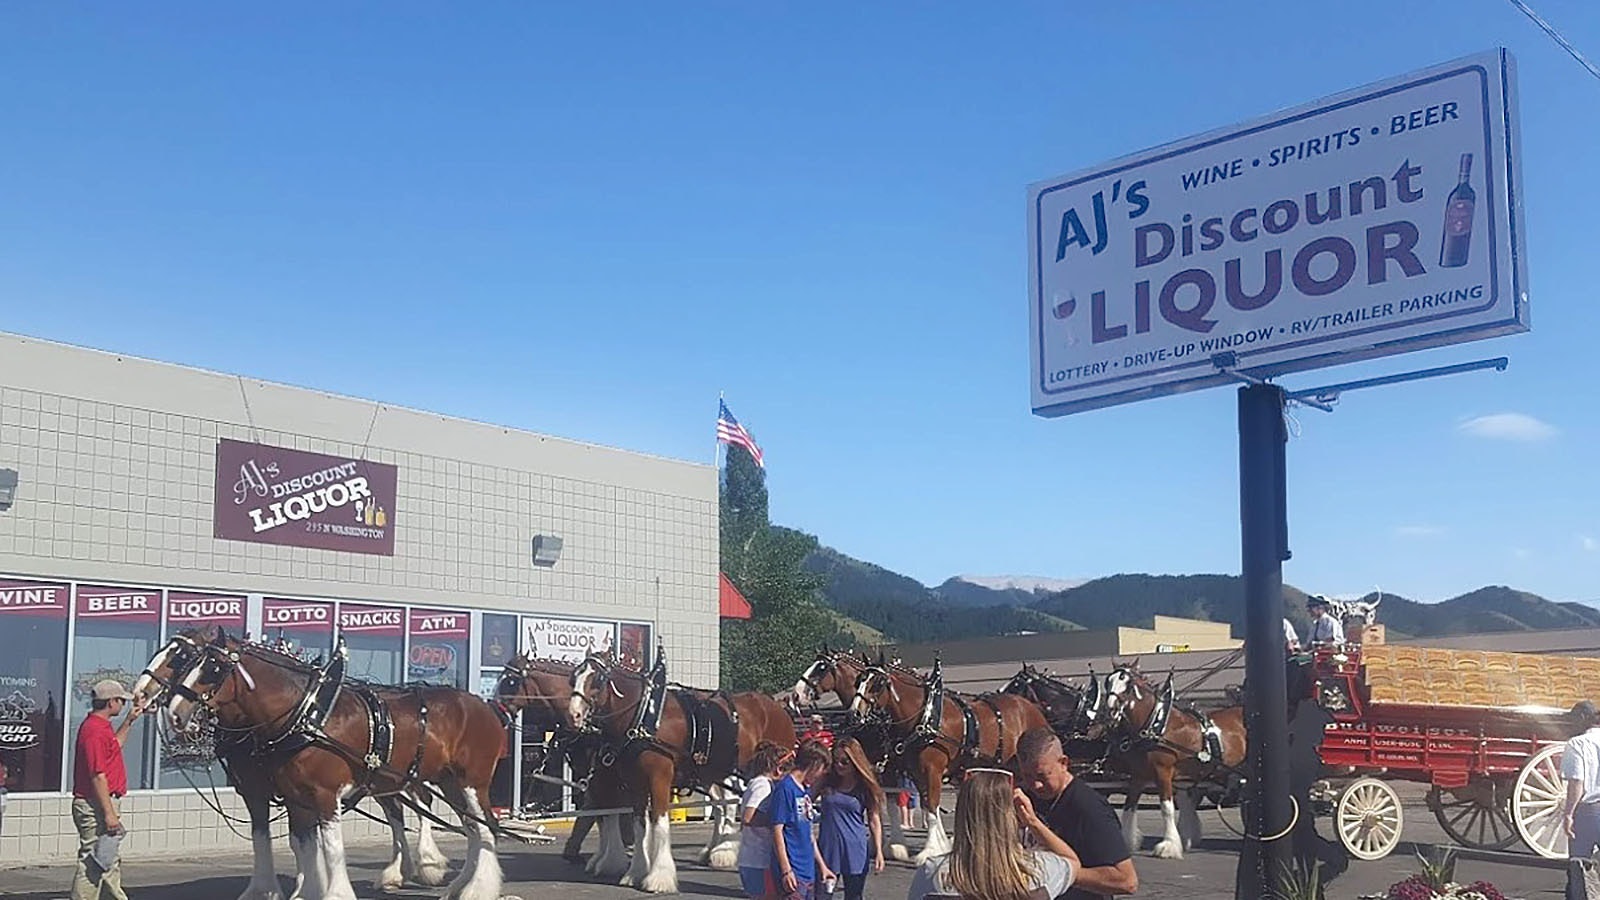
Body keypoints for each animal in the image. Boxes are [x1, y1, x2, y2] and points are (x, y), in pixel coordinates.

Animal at [161, 630, 512, 896]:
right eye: (187, 663)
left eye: (213, 668)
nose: (174, 712)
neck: (308, 715)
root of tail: (485, 707)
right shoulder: (294, 798)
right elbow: (303, 845)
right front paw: (304, 891)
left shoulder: (324, 795)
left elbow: (330, 848)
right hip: (447, 783)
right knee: (472, 831)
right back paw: (457, 886)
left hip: (471, 782)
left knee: (485, 830)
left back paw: (476, 888)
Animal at [576, 646, 800, 883]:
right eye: (574, 676)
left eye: (597, 679)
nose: (575, 714)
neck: (646, 717)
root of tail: (777, 706)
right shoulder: (632, 781)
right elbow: (636, 825)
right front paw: (634, 870)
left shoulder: (657, 778)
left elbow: (656, 821)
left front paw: (659, 876)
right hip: (714, 773)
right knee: (722, 806)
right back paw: (714, 851)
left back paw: (728, 852)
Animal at [851, 659, 1049, 864]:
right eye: (858, 681)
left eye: (878, 684)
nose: (855, 714)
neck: (926, 717)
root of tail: (1033, 708)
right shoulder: (917, 772)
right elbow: (928, 805)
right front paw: (938, 845)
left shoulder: (932, 770)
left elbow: (931, 807)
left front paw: (929, 850)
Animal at [1100, 662, 1248, 858]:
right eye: (1107, 682)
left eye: (1129, 685)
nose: (1110, 712)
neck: (1157, 726)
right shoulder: (1139, 775)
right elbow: (1129, 807)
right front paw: (1127, 841)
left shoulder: (1163, 772)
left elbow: (1167, 808)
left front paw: (1168, 846)